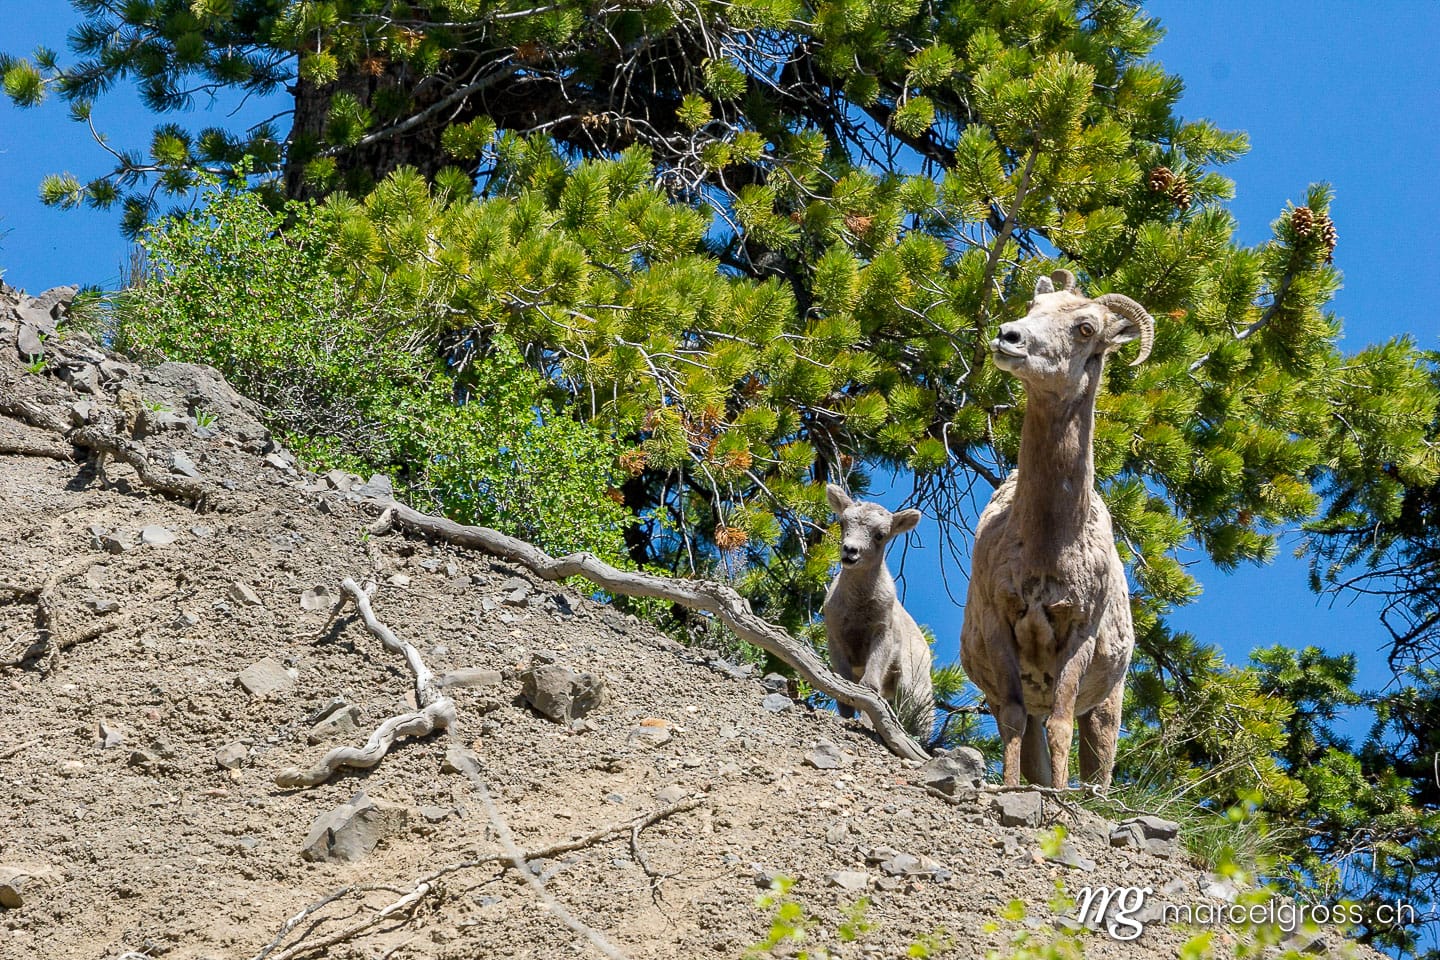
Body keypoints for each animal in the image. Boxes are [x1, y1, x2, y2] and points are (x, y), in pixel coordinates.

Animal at [823, 484, 935, 739]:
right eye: (843, 522)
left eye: (880, 535)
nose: (850, 551)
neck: (857, 608)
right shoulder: (835, 638)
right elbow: (843, 686)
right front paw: (846, 719)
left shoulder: (882, 635)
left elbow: (869, 688)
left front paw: (864, 725)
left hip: (915, 685)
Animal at [959, 269, 1154, 788]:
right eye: (1034, 306)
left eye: (1086, 328)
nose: (1008, 337)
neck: (1049, 547)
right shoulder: (1000, 627)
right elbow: (1012, 720)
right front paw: (1011, 788)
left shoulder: (1078, 635)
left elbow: (1063, 724)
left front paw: (1061, 796)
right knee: (1028, 736)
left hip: (1108, 705)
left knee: (1099, 762)